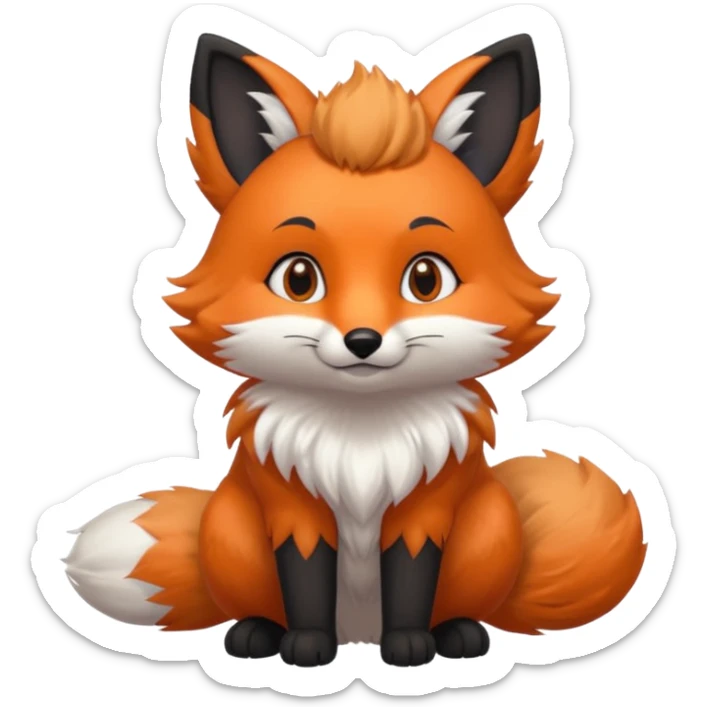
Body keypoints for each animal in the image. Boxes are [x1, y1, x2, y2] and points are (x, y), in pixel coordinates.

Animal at [64, 31, 647, 668]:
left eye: (425, 279)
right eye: (299, 279)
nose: (362, 341)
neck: (361, 438)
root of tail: (359, 635)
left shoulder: (425, 510)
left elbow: (412, 581)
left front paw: (411, 646)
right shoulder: (294, 508)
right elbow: (305, 580)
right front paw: (306, 646)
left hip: (491, 525)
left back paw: (458, 634)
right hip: (230, 525)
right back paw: (257, 633)